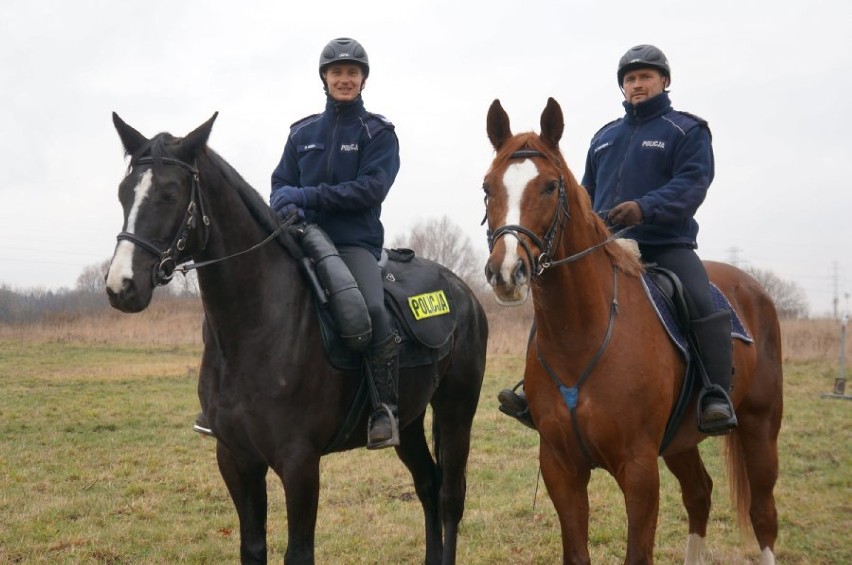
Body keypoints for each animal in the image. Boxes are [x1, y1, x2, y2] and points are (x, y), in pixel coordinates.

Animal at [106, 112, 490, 560]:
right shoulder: (236, 458)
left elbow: (299, 552)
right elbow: (253, 548)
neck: (255, 328)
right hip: (409, 420)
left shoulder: (299, 464)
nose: (121, 286)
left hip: (456, 410)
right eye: (124, 194)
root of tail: (463, 291)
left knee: (450, 497)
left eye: (169, 193)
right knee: (428, 484)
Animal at [482, 99, 784, 560]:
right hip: (682, 440)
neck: (581, 336)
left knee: (763, 513)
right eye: (487, 187)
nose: (506, 272)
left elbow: (638, 552)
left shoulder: (639, 470)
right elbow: (577, 552)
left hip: (759, 426)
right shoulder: (560, 468)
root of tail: (754, 290)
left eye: (550, 186)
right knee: (700, 493)